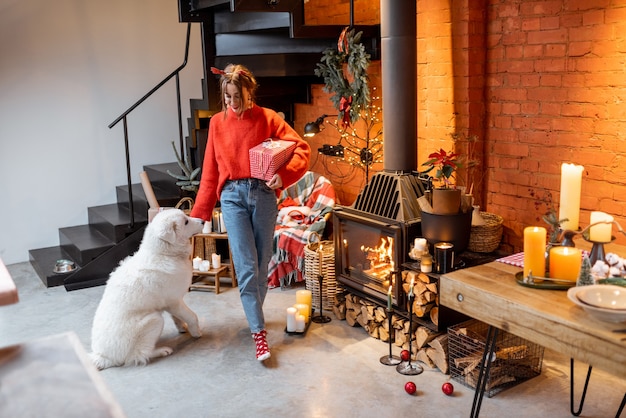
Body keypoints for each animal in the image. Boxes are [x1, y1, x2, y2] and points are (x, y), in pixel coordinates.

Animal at [89, 209, 202, 370]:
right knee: (138, 356)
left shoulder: (170, 304)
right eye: (186, 222)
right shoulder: (174, 301)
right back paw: (162, 351)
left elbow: (177, 317)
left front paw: (182, 328)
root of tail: (102, 356)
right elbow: (192, 316)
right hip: (154, 320)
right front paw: (196, 332)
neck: (163, 254)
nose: (203, 221)